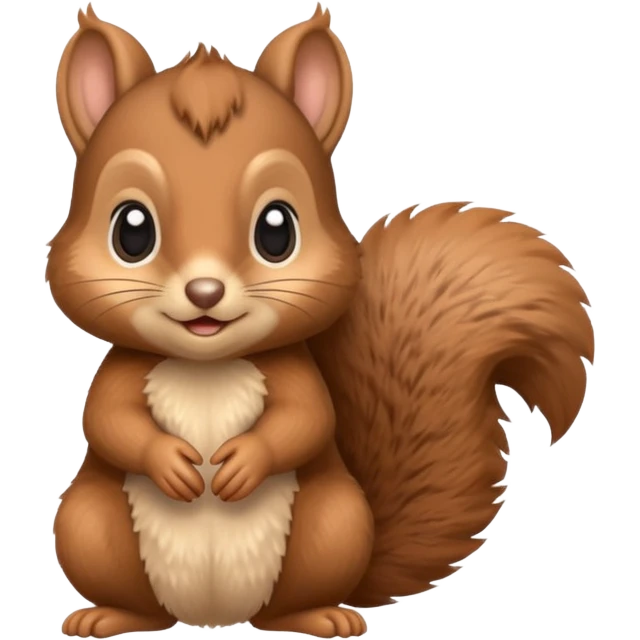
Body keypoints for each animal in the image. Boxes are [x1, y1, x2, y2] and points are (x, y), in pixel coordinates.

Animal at [48, 2, 595, 639]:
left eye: (277, 230)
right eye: (130, 231)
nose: (205, 292)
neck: (206, 364)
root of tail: (214, 618)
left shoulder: (294, 375)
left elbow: (307, 419)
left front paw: (241, 463)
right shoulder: (120, 374)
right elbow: (107, 420)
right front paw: (172, 462)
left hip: (333, 525)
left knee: (291, 602)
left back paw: (322, 616)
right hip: (89, 526)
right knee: (135, 596)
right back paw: (109, 615)